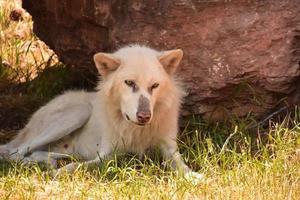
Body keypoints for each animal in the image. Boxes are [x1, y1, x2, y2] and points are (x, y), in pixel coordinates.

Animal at [0, 44, 196, 176]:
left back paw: (53, 161)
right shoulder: (106, 154)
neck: (136, 130)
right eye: (129, 83)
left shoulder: (169, 149)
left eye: (154, 85)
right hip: (78, 113)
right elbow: (78, 166)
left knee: (34, 153)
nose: (144, 116)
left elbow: (182, 166)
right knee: (14, 153)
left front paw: (194, 177)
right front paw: (57, 173)